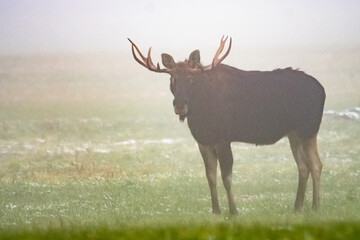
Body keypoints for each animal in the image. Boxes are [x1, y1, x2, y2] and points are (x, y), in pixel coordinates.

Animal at [129, 36, 326, 215]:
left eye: (191, 79)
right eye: (172, 79)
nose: (180, 105)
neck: (200, 111)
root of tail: (322, 90)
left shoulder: (222, 138)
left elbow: (226, 177)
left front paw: (233, 211)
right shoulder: (203, 142)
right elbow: (210, 176)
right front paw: (216, 211)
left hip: (309, 129)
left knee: (316, 164)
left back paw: (316, 207)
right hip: (294, 133)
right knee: (303, 166)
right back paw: (297, 207)